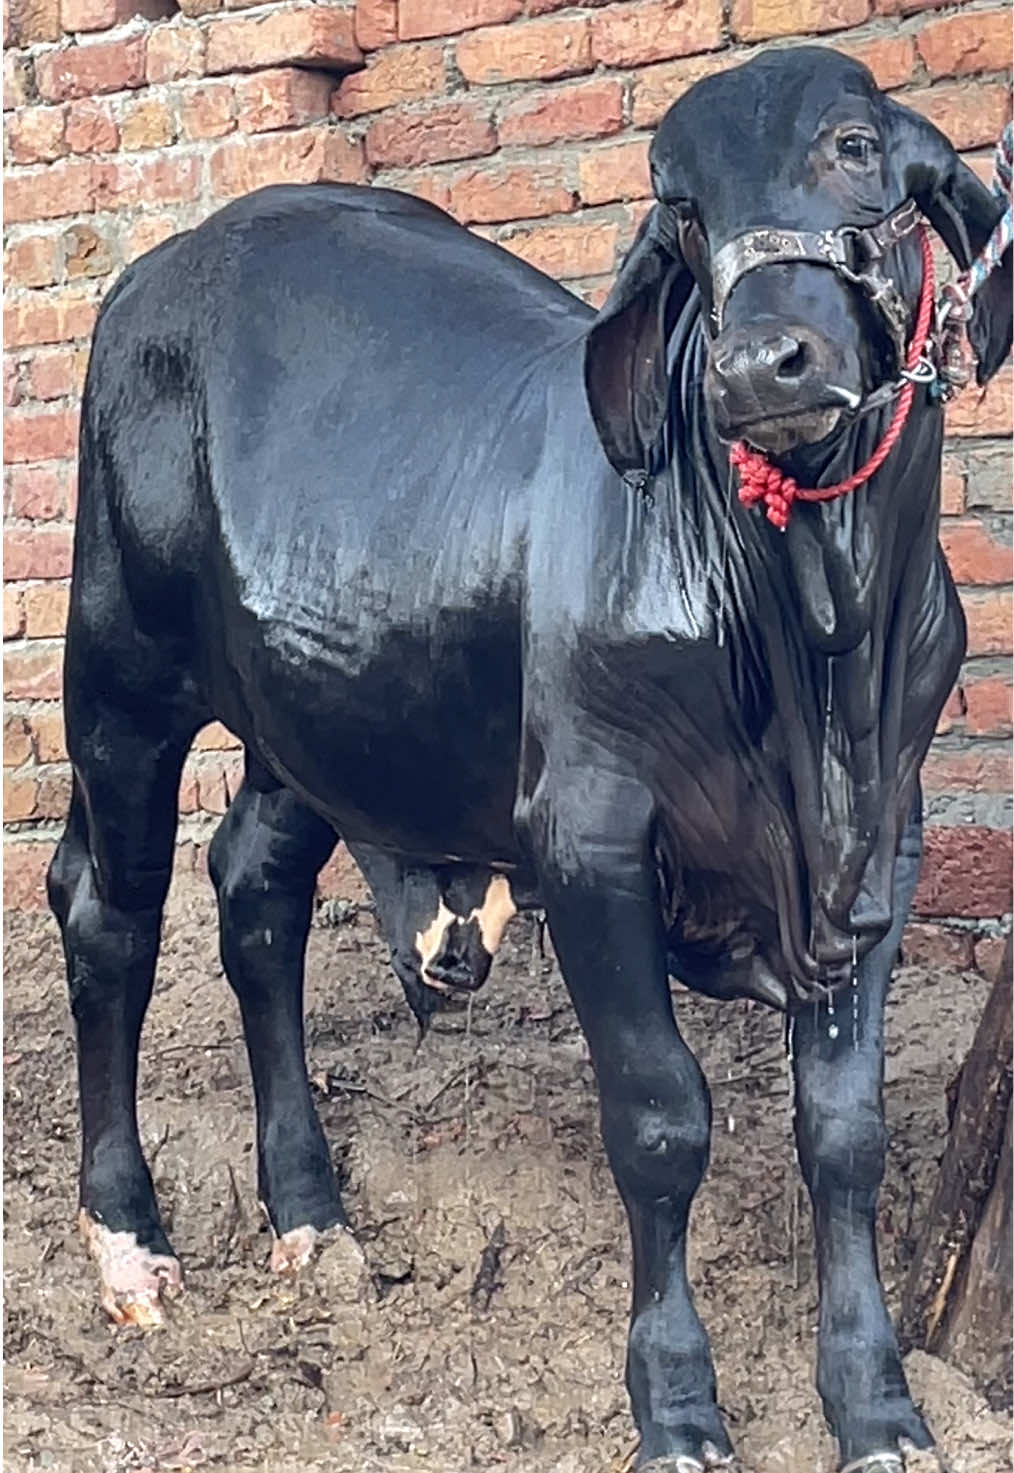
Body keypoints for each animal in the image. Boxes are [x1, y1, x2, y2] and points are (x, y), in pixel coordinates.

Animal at [48, 45, 1010, 1473]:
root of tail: (165, 267)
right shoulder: (592, 834)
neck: (817, 635)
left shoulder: (880, 846)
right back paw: (128, 1240)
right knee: (111, 914)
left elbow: (846, 1135)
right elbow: (661, 1121)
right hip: (119, 675)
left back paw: (310, 1212)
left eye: (854, 145)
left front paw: (878, 1405)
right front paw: (676, 1403)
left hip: (319, 706)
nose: (759, 367)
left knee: (256, 890)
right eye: (678, 208)